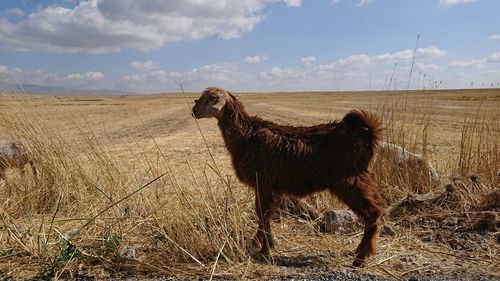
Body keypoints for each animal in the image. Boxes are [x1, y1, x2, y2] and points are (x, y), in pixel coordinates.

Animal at [190, 86, 382, 266]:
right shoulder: (263, 185)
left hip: (349, 181)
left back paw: (360, 258)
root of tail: (367, 135)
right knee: (375, 210)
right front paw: (259, 243)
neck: (246, 136)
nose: (194, 111)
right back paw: (362, 251)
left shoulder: (263, 181)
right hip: (360, 179)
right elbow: (262, 213)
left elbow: (263, 213)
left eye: (212, 97)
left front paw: (266, 249)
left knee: (373, 212)